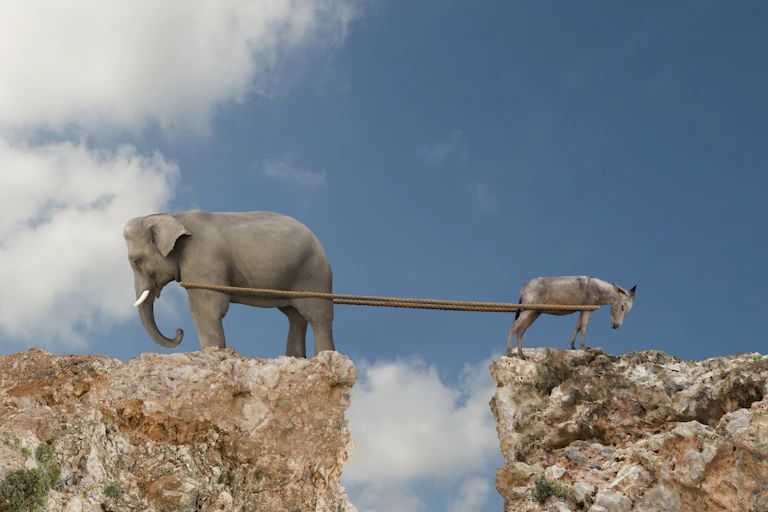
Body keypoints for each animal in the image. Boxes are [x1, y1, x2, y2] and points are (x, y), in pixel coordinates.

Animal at [123, 210, 335, 357]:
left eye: (136, 261)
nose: (179, 331)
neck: (174, 217)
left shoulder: (203, 261)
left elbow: (208, 309)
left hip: (313, 272)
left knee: (317, 315)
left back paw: (323, 356)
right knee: (295, 316)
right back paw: (295, 359)